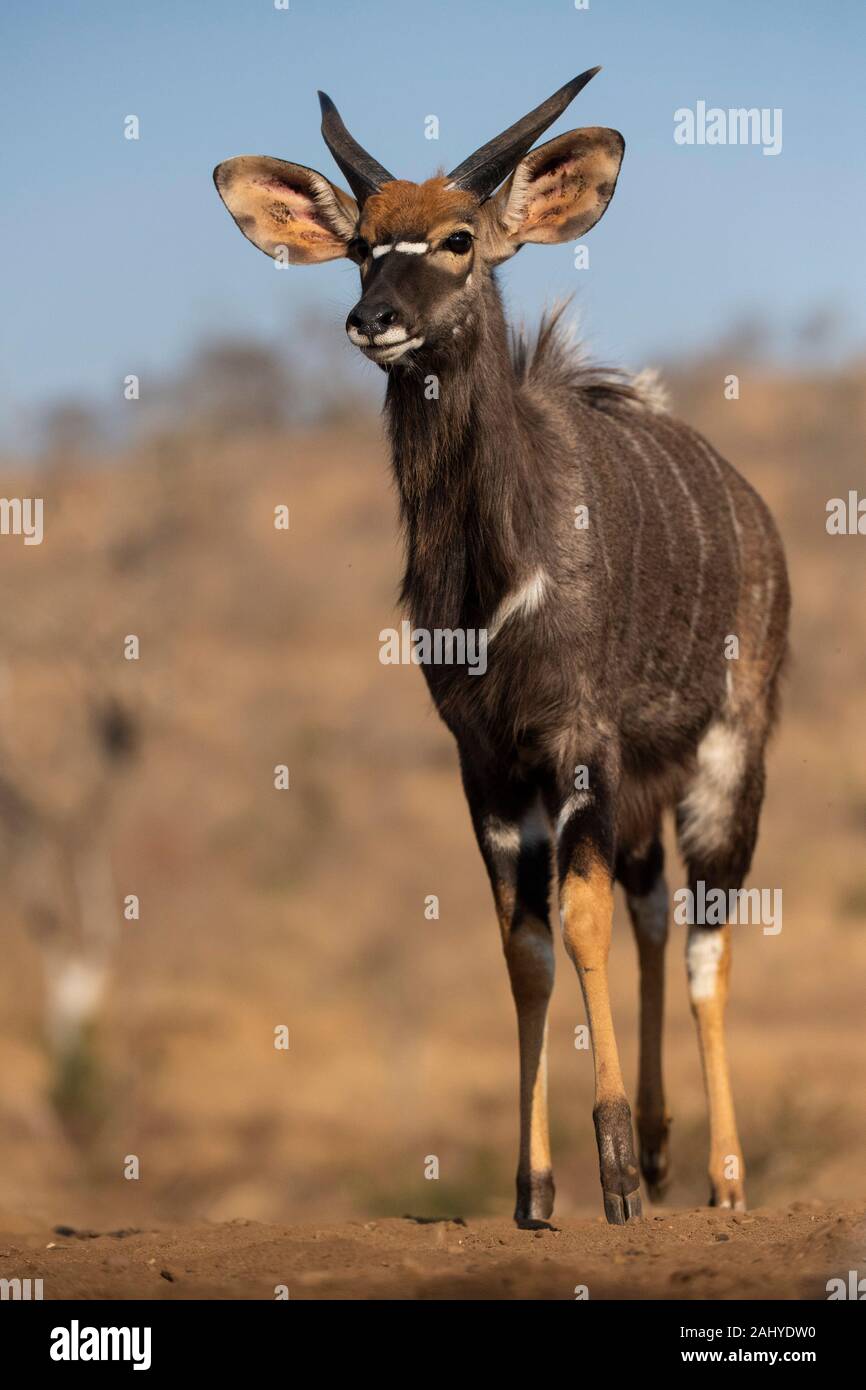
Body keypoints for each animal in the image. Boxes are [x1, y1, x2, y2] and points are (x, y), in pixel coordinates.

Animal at [214, 70, 789, 1228]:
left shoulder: (575, 741)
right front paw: (537, 1189)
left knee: (704, 939)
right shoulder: (484, 758)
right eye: (361, 248)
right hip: (646, 785)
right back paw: (664, 1148)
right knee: (654, 909)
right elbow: (523, 947)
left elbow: (578, 920)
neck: (493, 575)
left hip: (726, 759)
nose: (374, 322)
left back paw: (720, 1179)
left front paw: (612, 1176)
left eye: (458, 239)